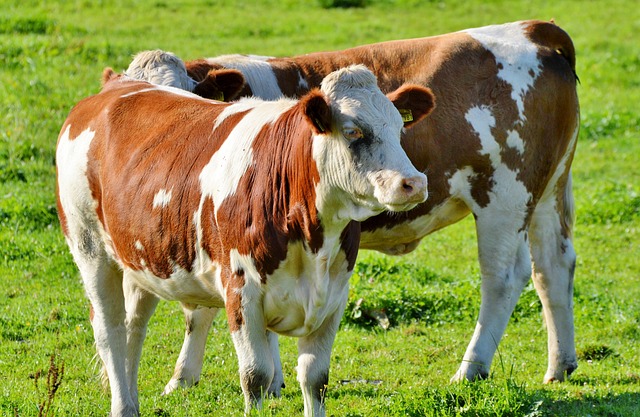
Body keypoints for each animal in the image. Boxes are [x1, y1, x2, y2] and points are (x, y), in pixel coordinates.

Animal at [56, 65, 436, 416]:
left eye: (399, 129)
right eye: (353, 131)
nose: (414, 183)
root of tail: (116, 85)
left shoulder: (334, 296)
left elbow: (316, 378)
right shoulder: (241, 292)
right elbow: (255, 376)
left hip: (142, 258)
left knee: (133, 328)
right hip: (89, 246)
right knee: (111, 331)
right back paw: (122, 405)